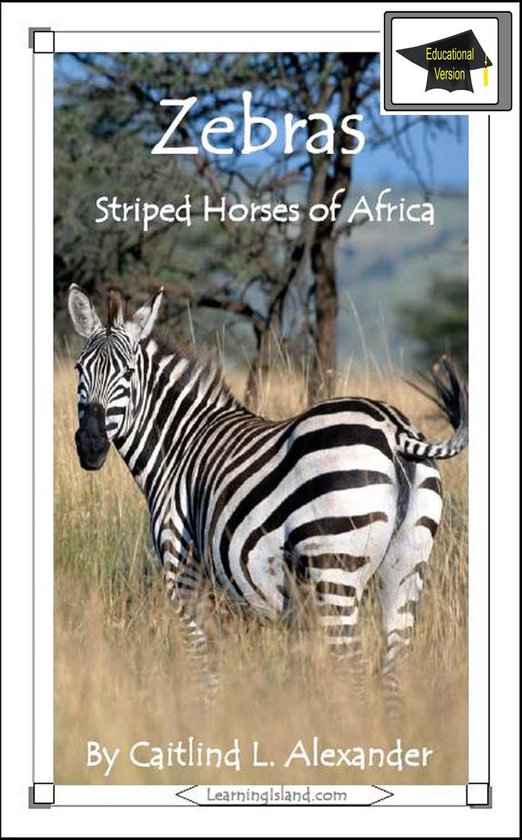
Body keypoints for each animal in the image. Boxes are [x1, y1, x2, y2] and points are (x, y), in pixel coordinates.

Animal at [68, 283, 468, 712]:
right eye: (79, 370)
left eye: (127, 374)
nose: (90, 446)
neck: (178, 445)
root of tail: (394, 430)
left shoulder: (183, 569)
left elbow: (204, 666)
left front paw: (206, 719)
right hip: (407, 563)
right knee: (394, 667)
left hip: (334, 565)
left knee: (354, 669)